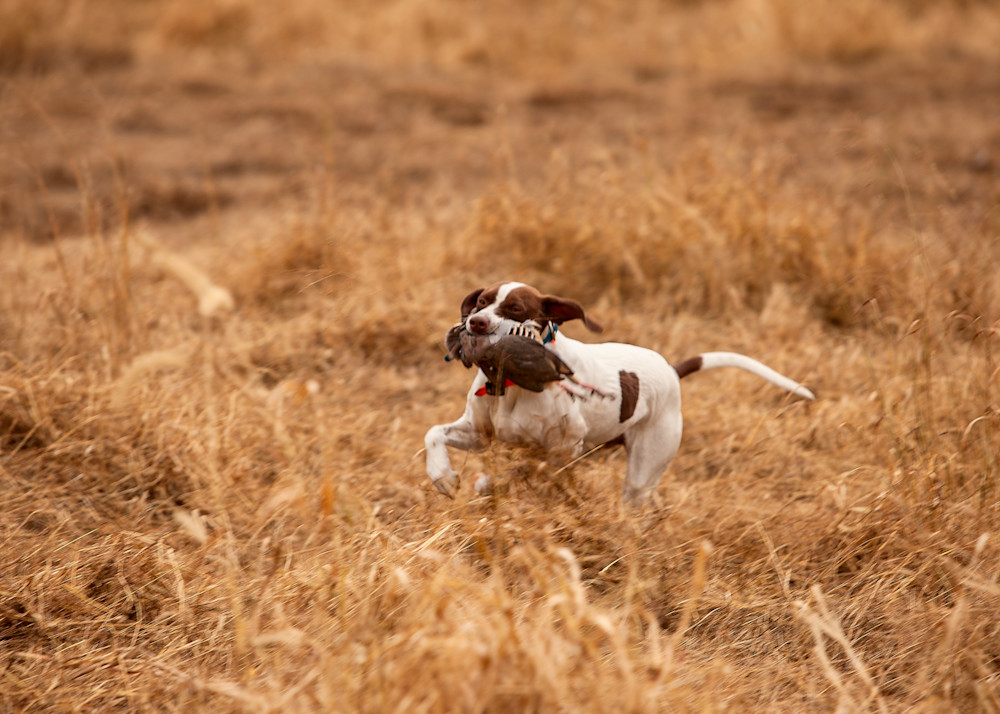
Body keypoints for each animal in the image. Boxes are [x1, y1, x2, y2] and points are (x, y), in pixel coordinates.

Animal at [422, 280, 812, 504]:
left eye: (515, 309)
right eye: (481, 302)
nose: (475, 323)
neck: (511, 382)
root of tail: (671, 370)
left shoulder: (565, 449)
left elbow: (525, 468)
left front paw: (489, 482)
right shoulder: (478, 435)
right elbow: (433, 433)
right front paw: (443, 476)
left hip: (643, 470)